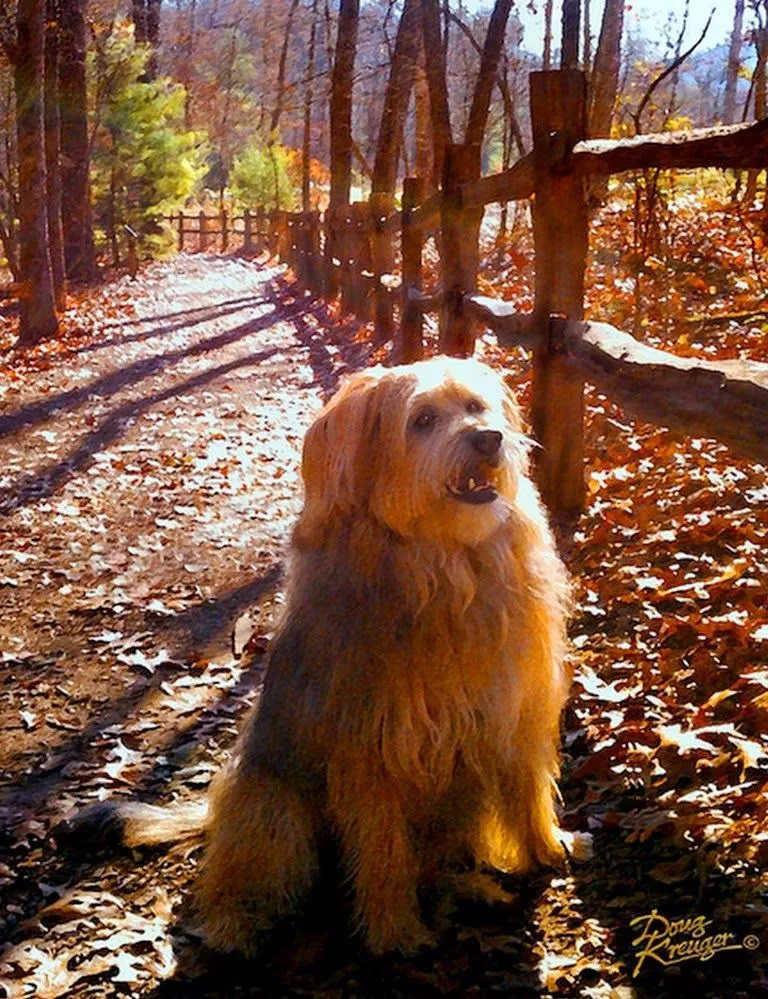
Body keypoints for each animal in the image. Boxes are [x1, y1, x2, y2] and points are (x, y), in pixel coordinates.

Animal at [66, 356, 568, 956]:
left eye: (476, 406)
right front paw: (393, 931)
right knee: (239, 878)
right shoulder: (370, 749)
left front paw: (547, 850)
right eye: (422, 419)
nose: (489, 438)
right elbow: (382, 846)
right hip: (273, 806)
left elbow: (528, 790)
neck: (448, 568)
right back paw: (234, 925)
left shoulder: (518, 713)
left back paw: (470, 886)